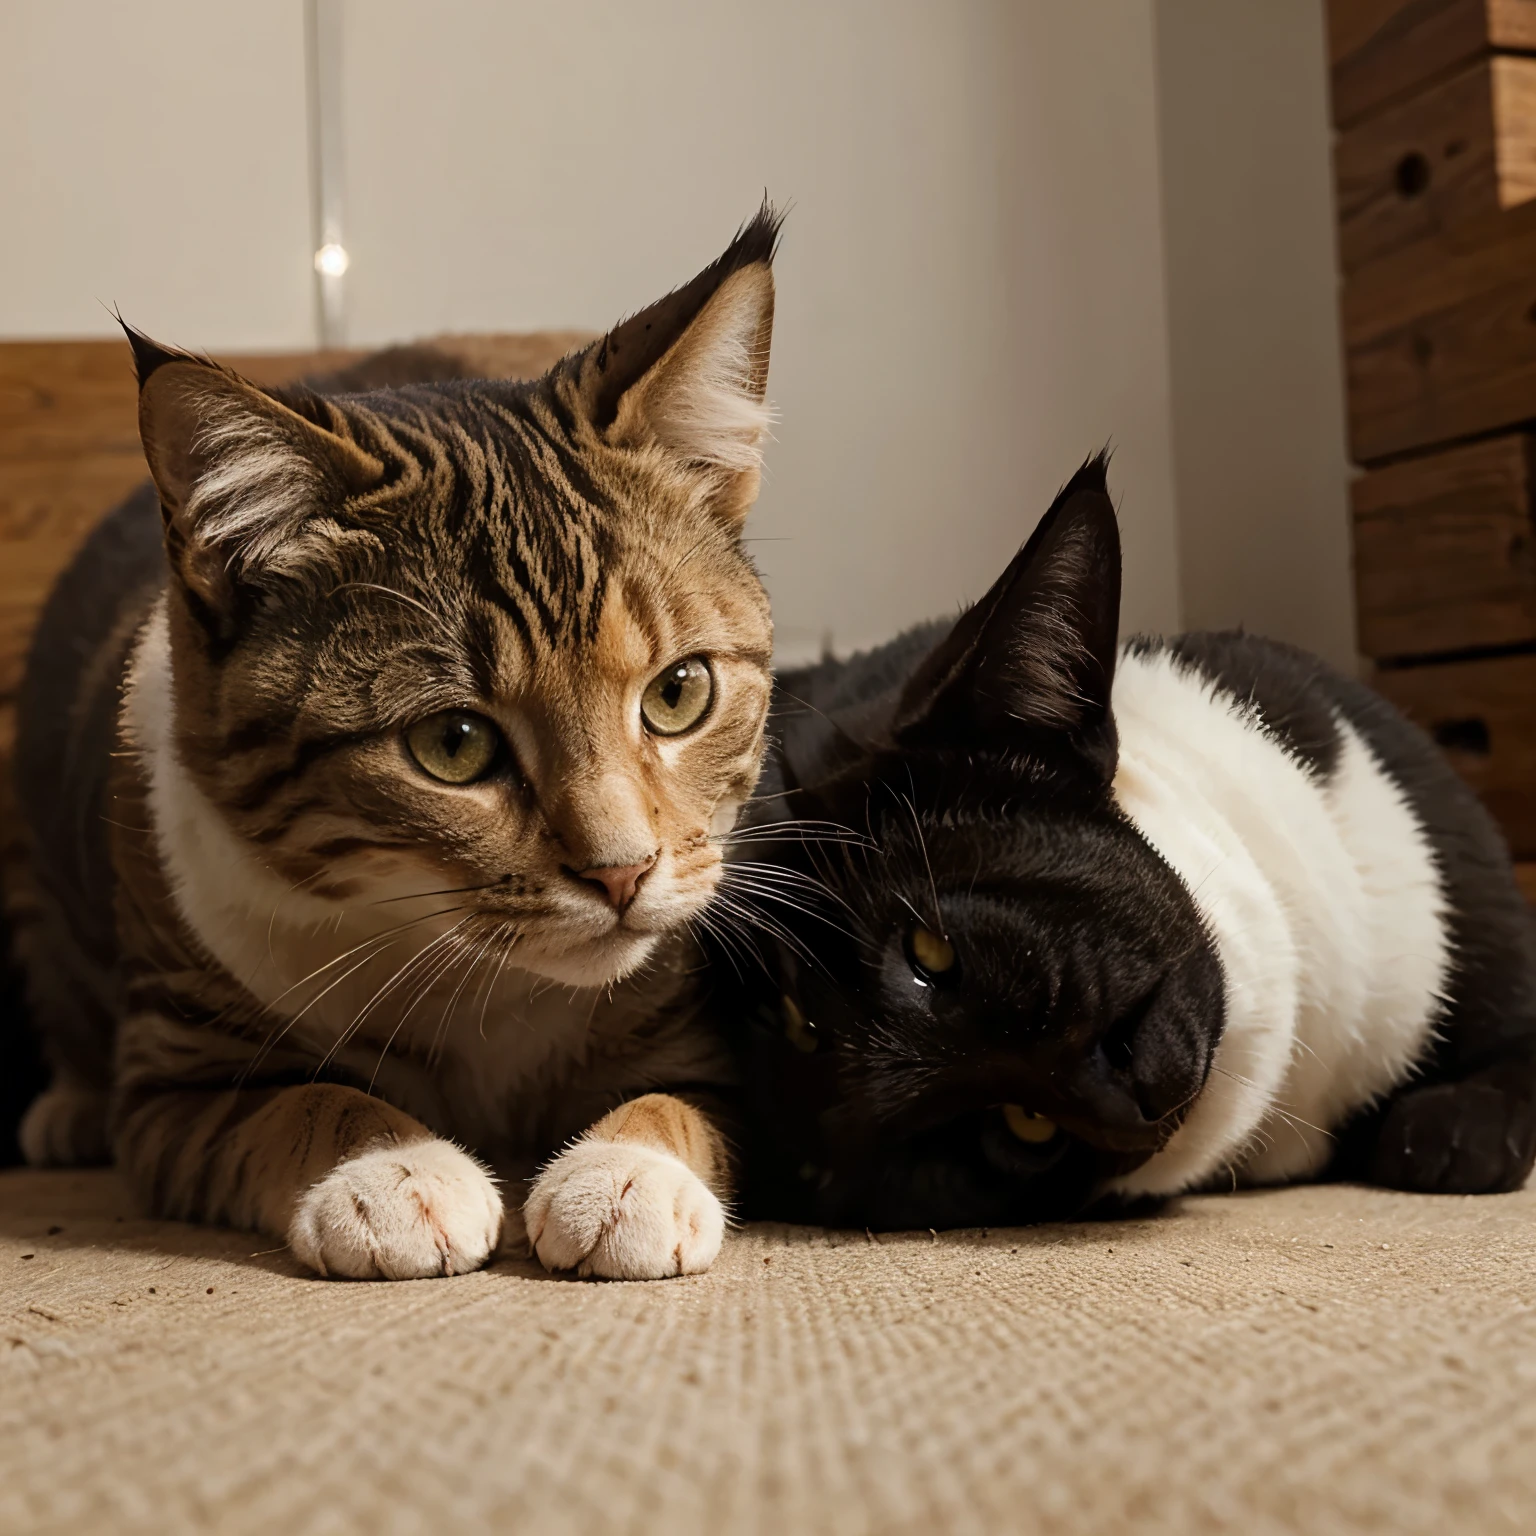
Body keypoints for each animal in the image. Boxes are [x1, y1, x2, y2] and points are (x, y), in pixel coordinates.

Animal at [6, 207, 780, 1284]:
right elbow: (297, 1103)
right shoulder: (174, 1080)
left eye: (678, 693)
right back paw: (65, 1109)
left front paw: (625, 1175)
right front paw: (394, 1169)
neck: (471, 967)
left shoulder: (702, 1040)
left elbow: (679, 1102)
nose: (622, 874)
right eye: (453, 743)